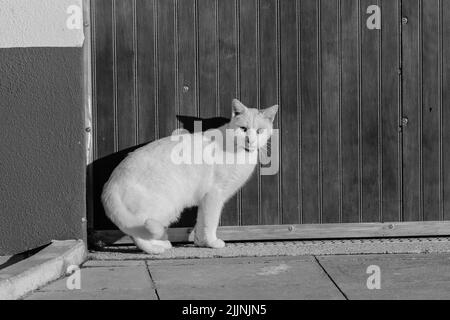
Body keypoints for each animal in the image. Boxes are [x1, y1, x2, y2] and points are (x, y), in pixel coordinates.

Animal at [102, 99, 278, 254]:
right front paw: (213, 242)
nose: (250, 140)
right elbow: (211, 222)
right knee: (138, 234)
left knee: (137, 231)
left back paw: (161, 243)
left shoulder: (205, 199)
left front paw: (202, 243)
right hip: (165, 207)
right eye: (243, 129)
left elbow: (201, 223)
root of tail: (110, 185)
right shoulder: (214, 195)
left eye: (259, 131)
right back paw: (156, 249)